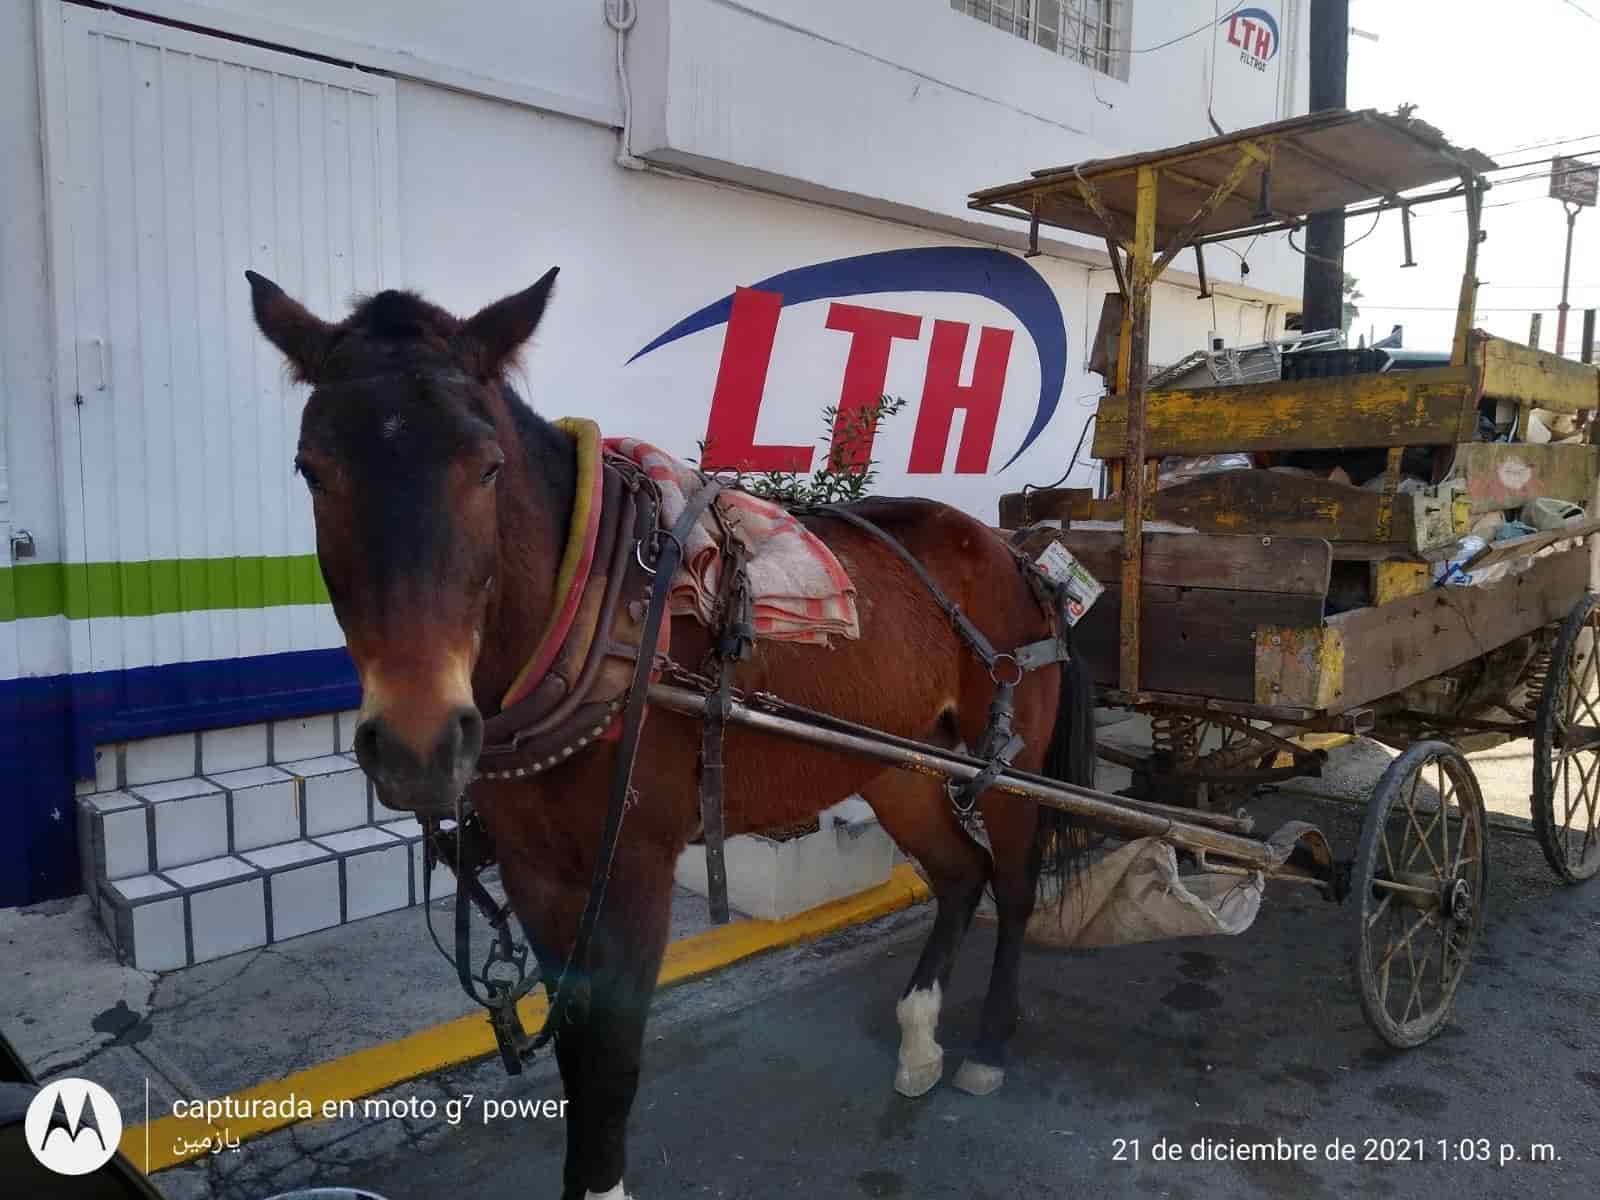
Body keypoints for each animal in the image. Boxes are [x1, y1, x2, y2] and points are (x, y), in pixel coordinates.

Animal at [246, 267, 1093, 1200]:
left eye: (487, 467)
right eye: (313, 469)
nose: (418, 742)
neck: (590, 610)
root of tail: (1014, 551)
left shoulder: (636, 868)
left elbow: (612, 1057)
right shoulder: (539, 870)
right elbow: (575, 1050)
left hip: (1008, 764)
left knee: (1012, 883)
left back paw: (986, 1046)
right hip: (898, 765)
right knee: (957, 875)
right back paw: (918, 1039)